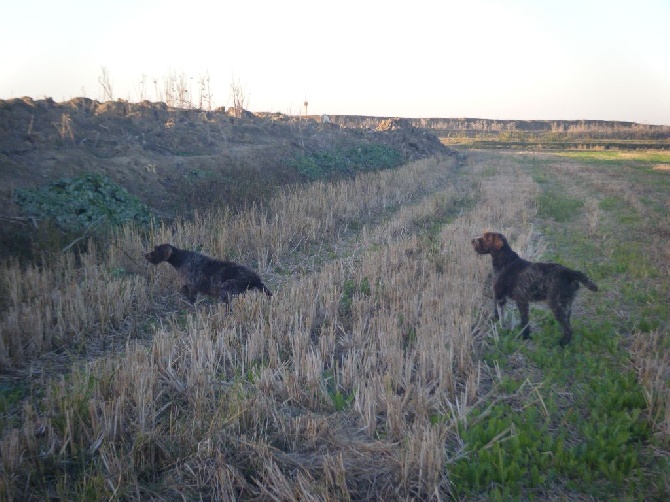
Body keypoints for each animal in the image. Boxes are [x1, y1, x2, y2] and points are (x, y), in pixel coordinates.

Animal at [472, 232, 600, 346]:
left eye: (486, 237)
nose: (472, 240)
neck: (505, 261)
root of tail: (571, 273)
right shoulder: (521, 301)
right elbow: (524, 320)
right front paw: (526, 335)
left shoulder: (500, 297)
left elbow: (500, 316)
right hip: (566, 305)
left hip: (557, 305)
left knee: (568, 328)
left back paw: (562, 344)